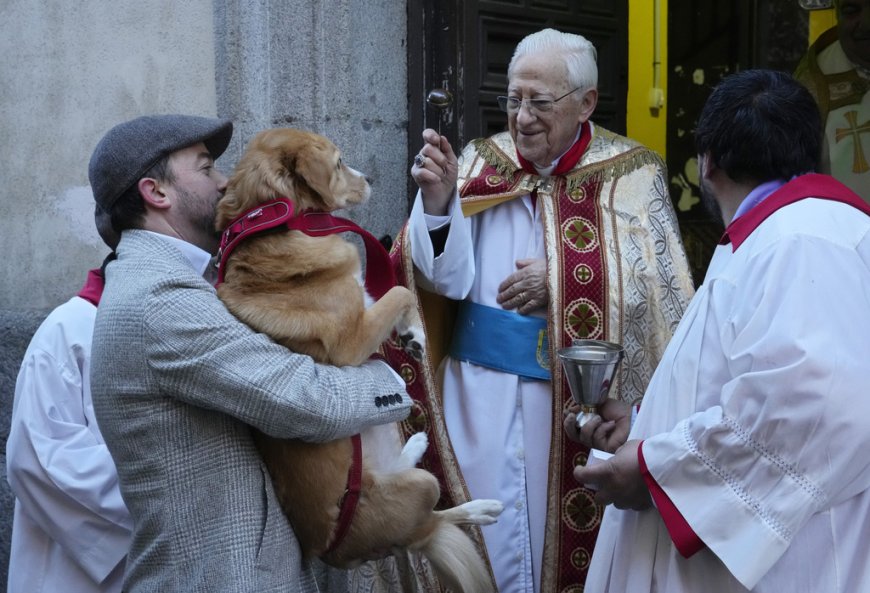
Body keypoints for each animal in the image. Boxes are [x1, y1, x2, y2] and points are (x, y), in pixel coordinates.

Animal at [214, 127, 508, 588]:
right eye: (338, 162)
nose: (370, 178)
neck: (276, 226)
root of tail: (338, 552)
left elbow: (392, 294)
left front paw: (409, 334)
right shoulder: (352, 342)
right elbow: (400, 292)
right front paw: (414, 334)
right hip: (423, 486)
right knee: (429, 524)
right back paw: (467, 501)